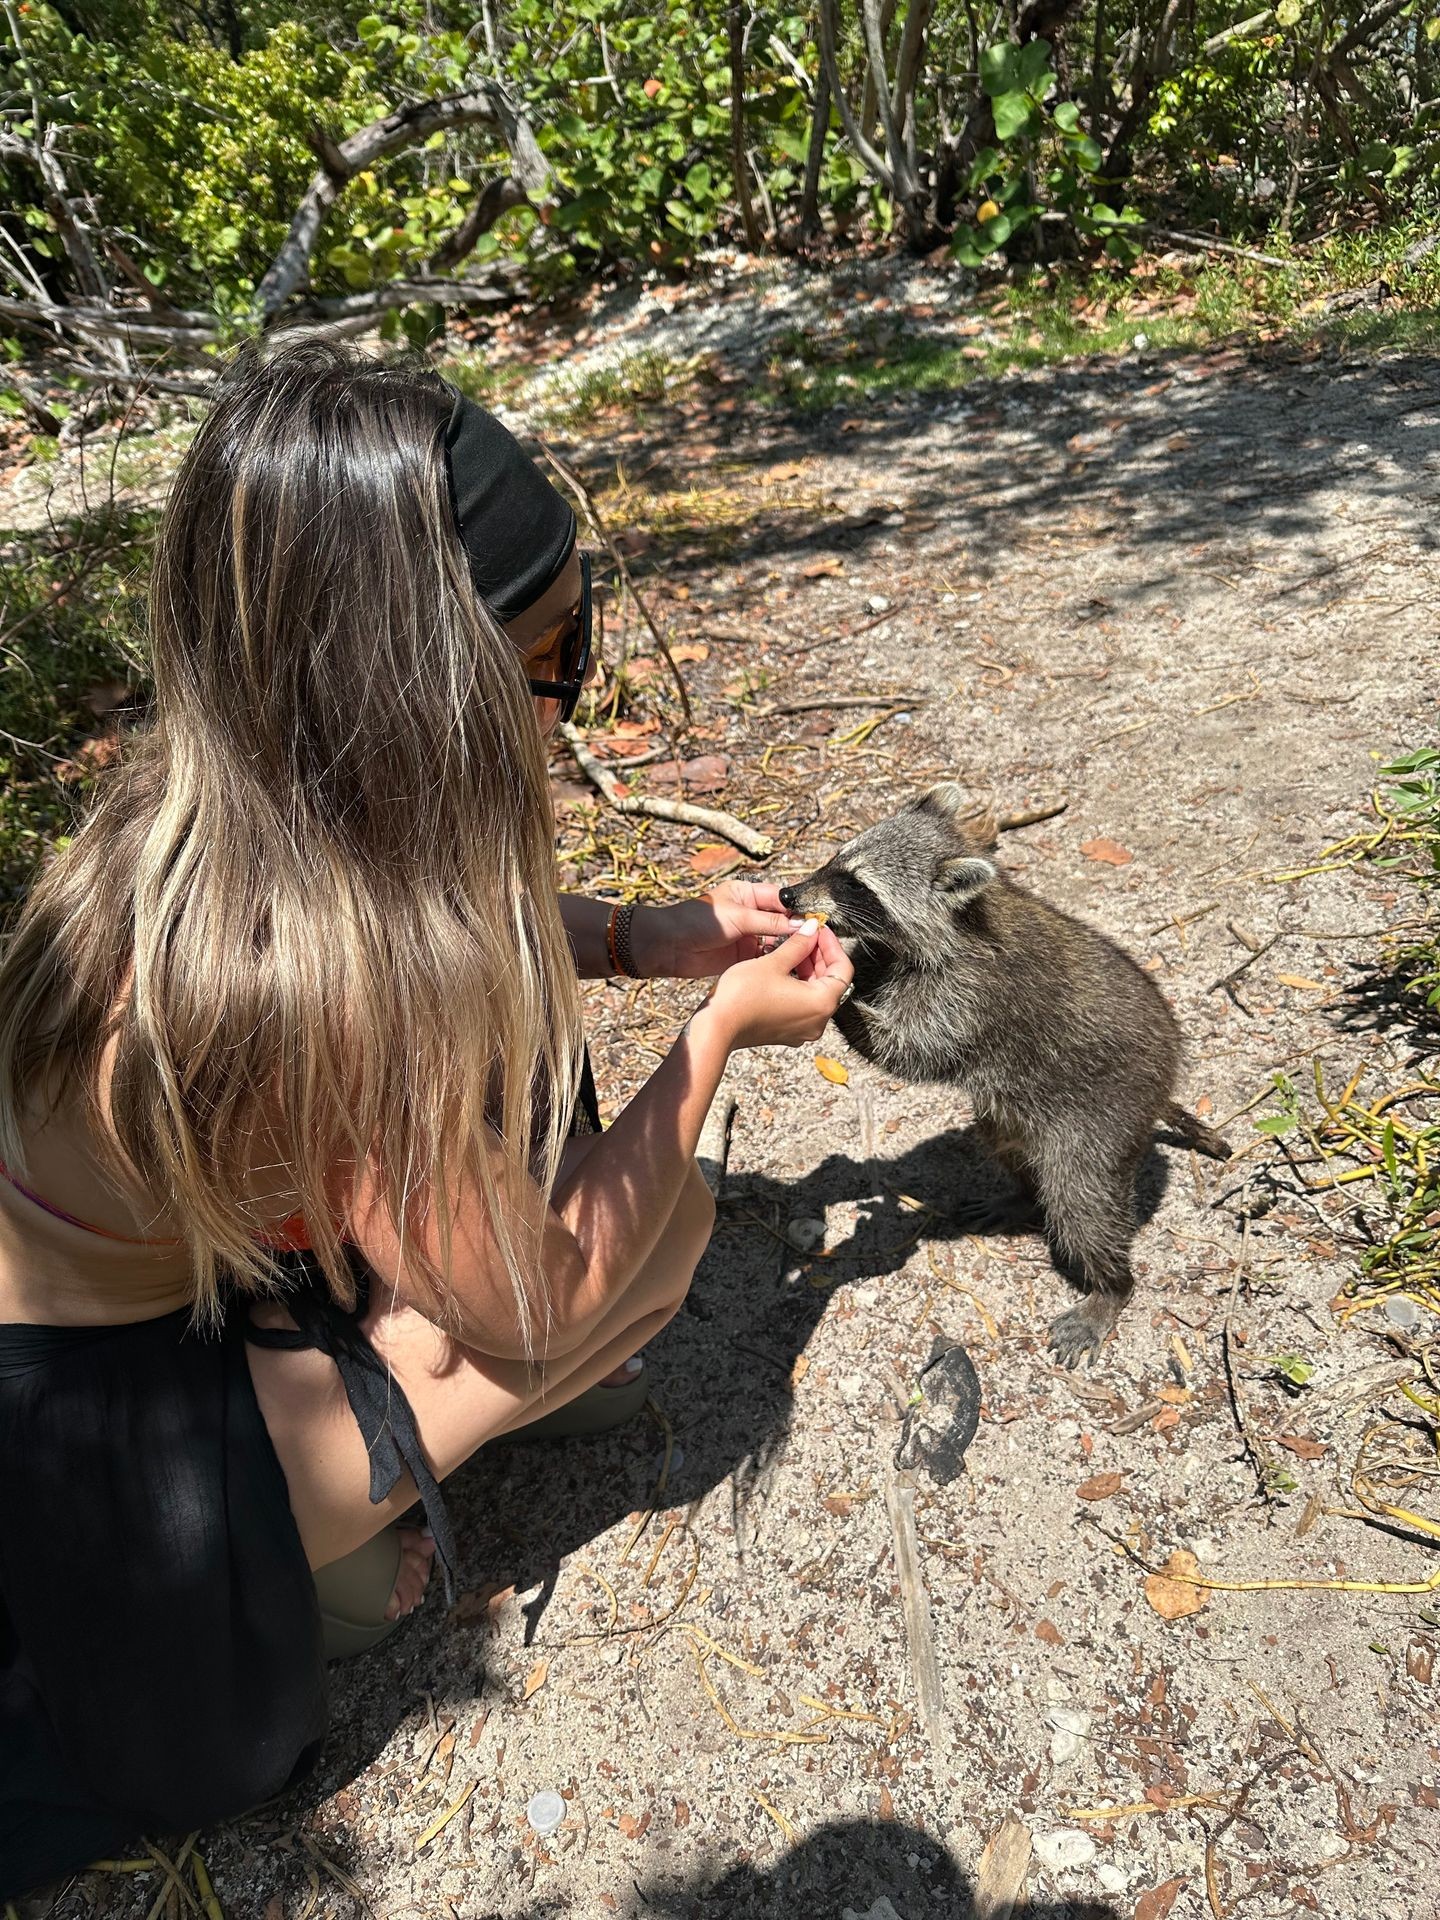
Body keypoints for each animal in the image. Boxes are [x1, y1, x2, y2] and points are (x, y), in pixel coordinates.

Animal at [779, 787, 1228, 1374]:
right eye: (835, 861)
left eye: (857, 885)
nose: (787, 894)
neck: (964, 916)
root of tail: (1164, 1080)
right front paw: (855, 960)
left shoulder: (973, 994)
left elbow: (916, 1052)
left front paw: (845, 1002)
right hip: (1020, 1112)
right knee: (1006, 1143)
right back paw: (1023, 1197)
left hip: (1104, 1117)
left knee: (1081, 1201)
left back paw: (1112, 1283)